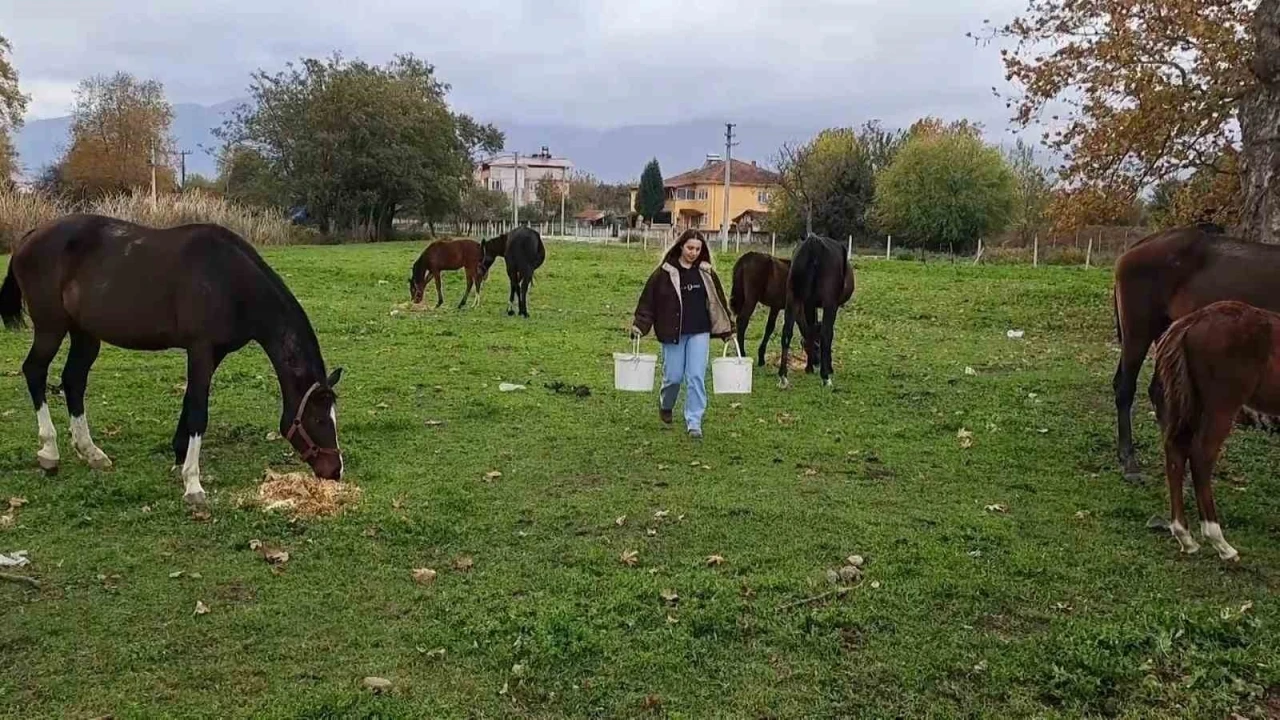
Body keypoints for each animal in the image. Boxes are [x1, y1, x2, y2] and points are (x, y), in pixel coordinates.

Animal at [0, 211, 345, 504]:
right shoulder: (200, 349)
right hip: (50, 327)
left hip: (85, 334)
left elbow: (190, 401)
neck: (230, 280)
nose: (335, 470)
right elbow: (198, 412)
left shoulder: (214, 353)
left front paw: (179, 454)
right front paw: (193, 483)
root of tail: (31, 236)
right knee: (35, 371)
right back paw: (49, 452)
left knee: (73, 381)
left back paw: (91, 452)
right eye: (317, 419)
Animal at [773, 233, 855, 384]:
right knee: (826, 333)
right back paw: (825, 377)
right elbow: (827, 333)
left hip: (793, 297)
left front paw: (809, 368)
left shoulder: (809, 303)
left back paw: (783, 376)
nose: (817, 362)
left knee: (787, 331)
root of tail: (813, 243)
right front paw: (827, 368)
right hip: (829, 302)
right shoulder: (831, 304)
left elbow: (810, 331)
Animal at [1105, 221, 1280, 479]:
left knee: (1159, 393)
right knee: (1125, 388)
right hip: (1138, 331)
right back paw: (1129, 462)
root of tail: (1136, 248)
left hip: (1166, 332)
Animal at [1146, 298, 1280, 561]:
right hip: (1221, 405)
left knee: (1175, 452)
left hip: (1192, 403)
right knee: (1201, 456)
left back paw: (1185, 537)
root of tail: (1189, 322)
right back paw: (1220, 542)